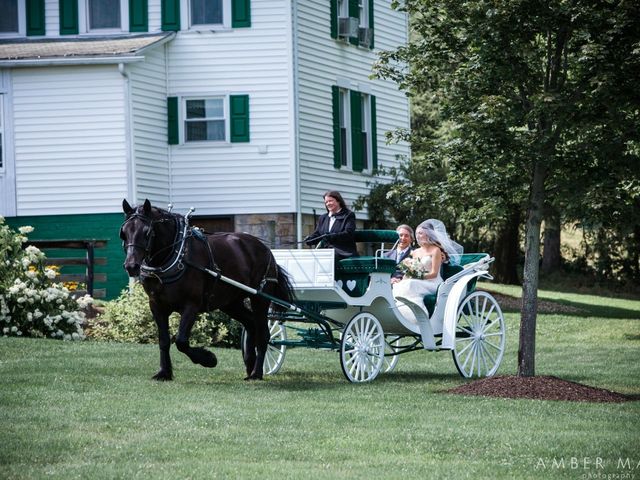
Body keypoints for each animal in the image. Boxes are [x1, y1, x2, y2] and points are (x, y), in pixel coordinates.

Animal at [120, 197, 296, 380]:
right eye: (123, 232)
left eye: (147, 232)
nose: (131, 266)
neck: (177, 255)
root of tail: (265, 249)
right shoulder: (156, 305)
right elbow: (164, 340)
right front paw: (164, 372)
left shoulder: (191, 305)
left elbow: (181, 341)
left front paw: (209, 359)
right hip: (231, 303)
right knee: (250, 323)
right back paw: (250, 365)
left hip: (259, 298)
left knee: (264, 334)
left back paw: (256, 372)